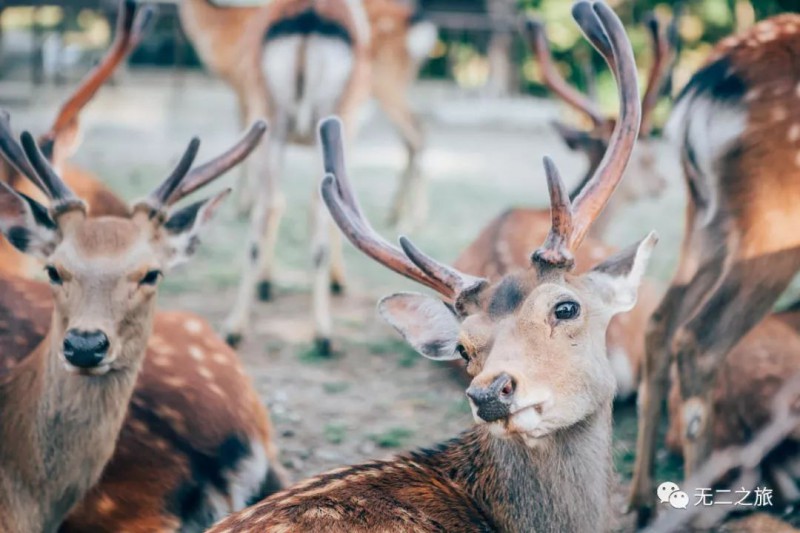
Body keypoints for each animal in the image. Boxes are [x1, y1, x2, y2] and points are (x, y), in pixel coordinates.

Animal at [179, 0, 438, 224]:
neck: (220, 31)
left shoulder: (243, 88)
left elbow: (244, 141)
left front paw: (242, 207)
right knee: (414, 133)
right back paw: (399, 216)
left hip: (385, 82)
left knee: (416, 131)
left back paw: (413, 219)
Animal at [628, 13, 800, 524]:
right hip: (775, 221)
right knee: (699, 341)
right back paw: (702, 514)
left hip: (705, 218)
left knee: (660, 324)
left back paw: (642, 502)